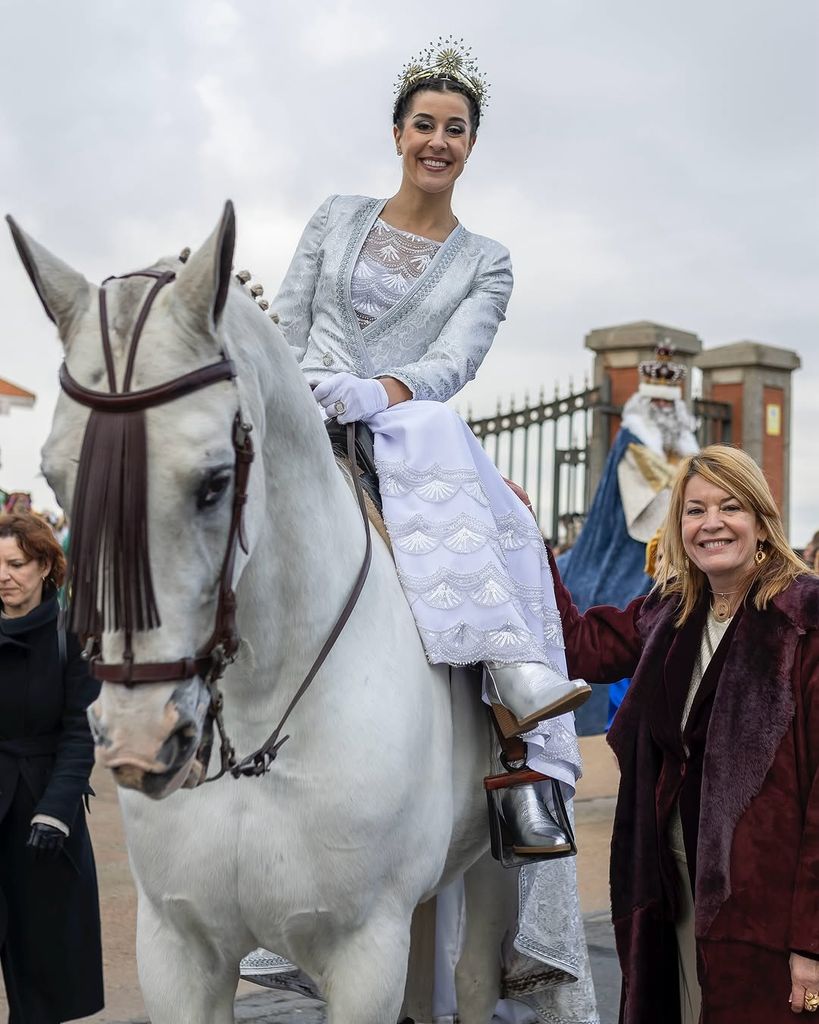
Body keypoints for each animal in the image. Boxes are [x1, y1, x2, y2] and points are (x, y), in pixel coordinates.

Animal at [9, 203, 515, 1019]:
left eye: (214, 482)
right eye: (56, 479)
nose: (138, 741)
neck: (257, 722)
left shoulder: (365, 953)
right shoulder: (178, 951)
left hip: (495, 868)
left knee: (473, 978)